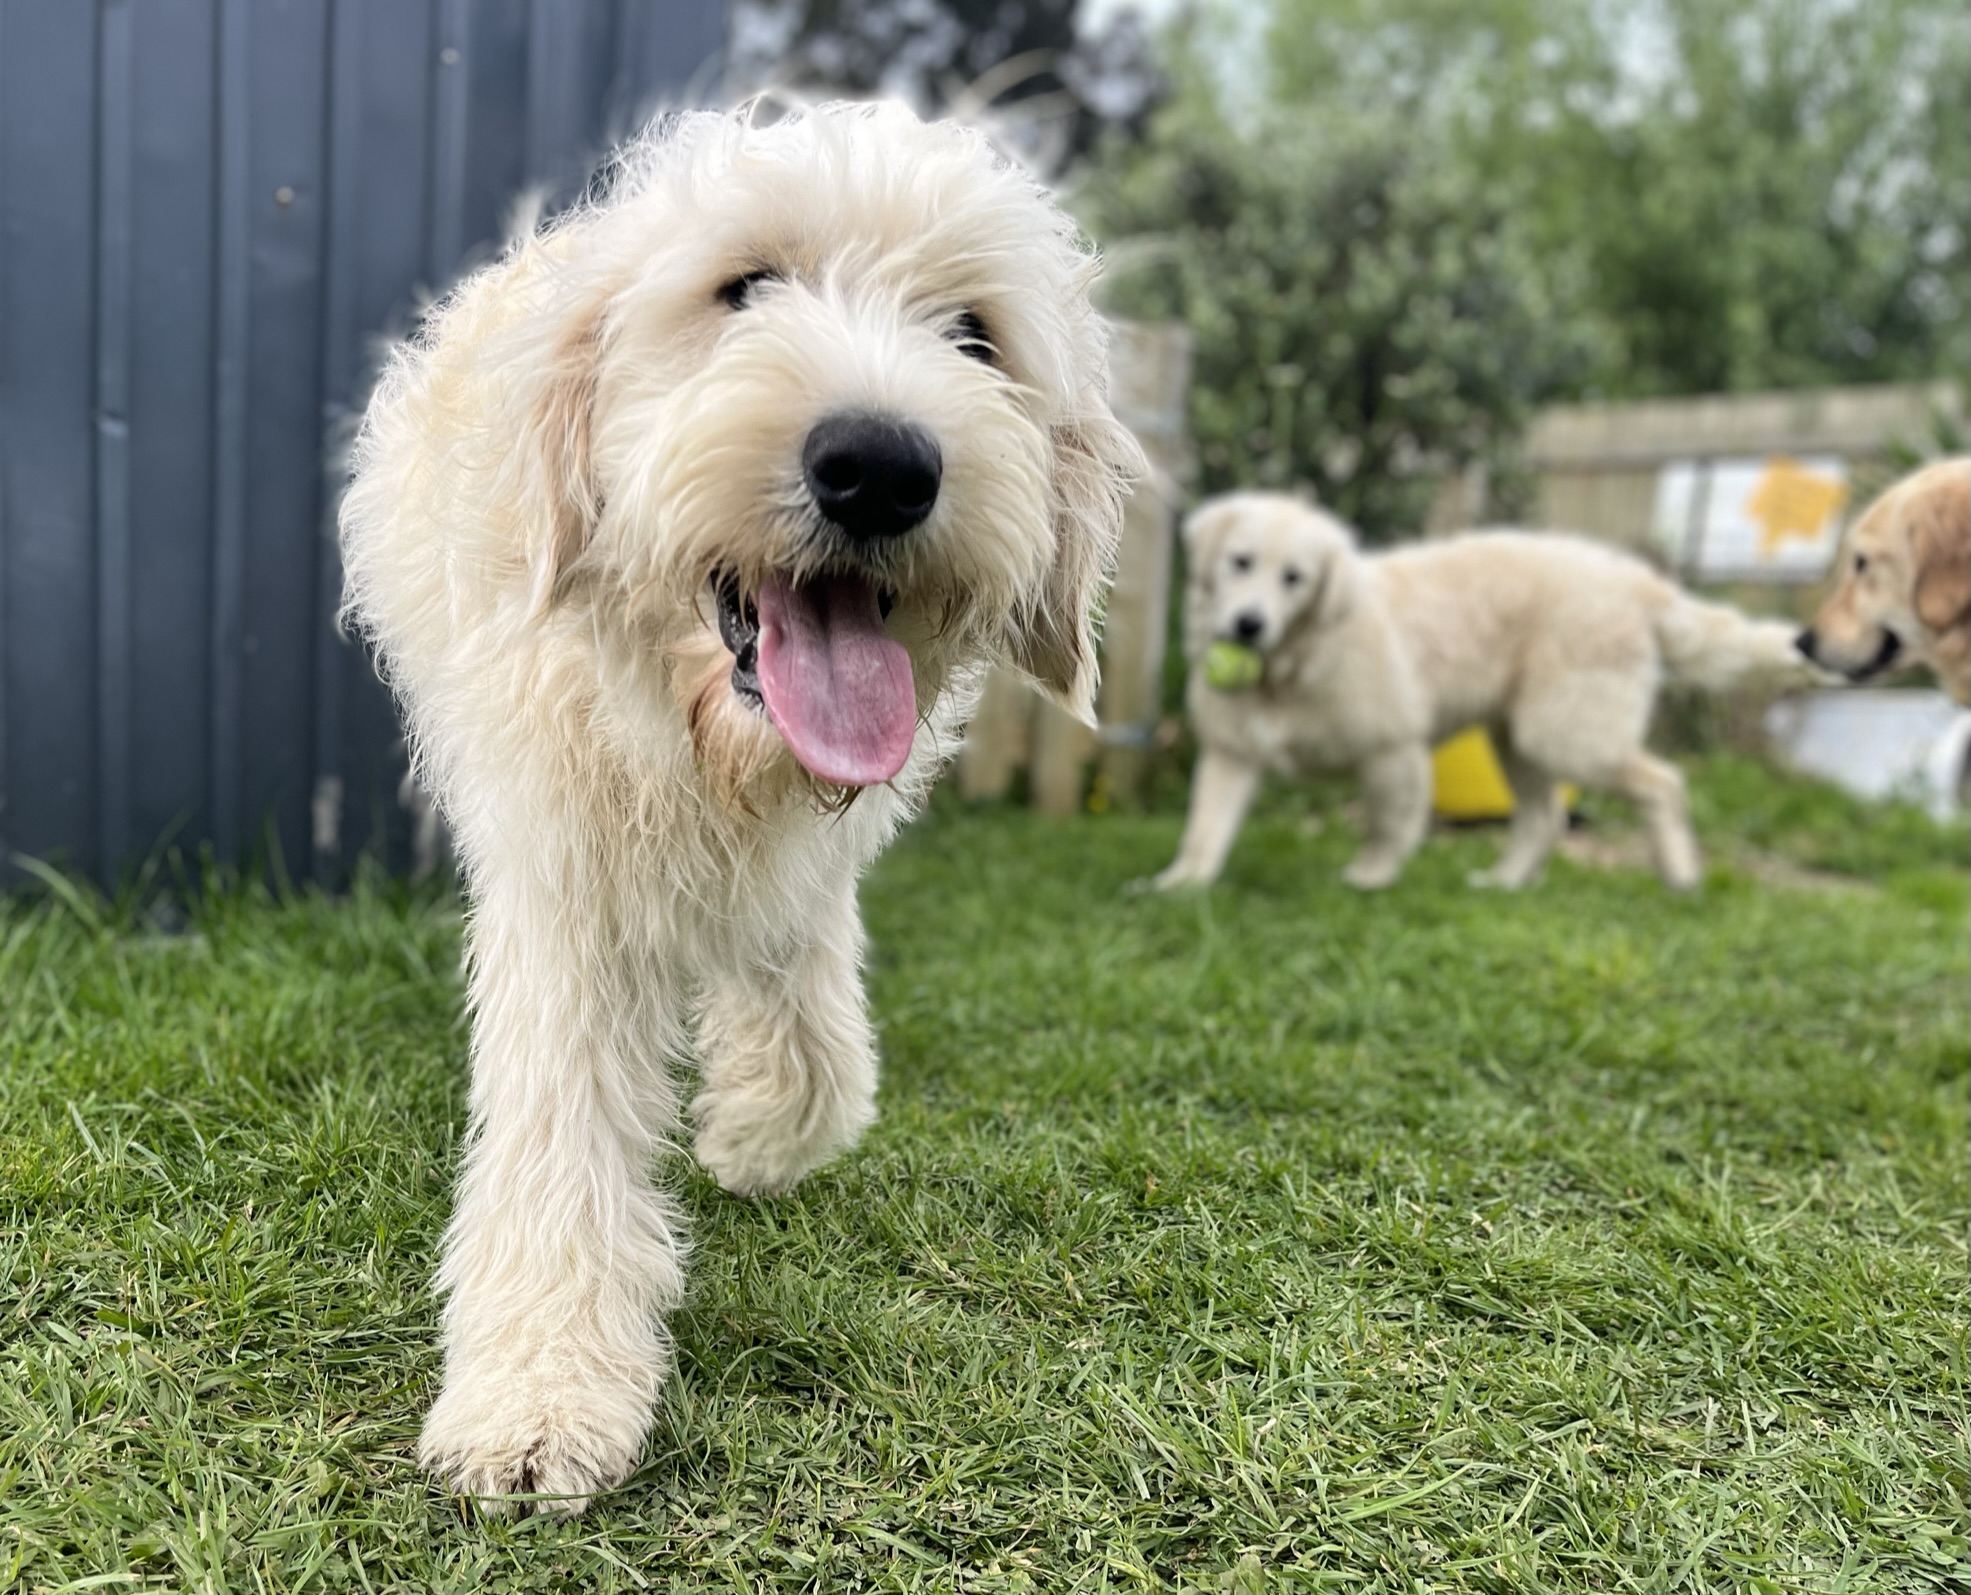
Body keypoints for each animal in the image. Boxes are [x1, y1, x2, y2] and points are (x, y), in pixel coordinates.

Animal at [340, 105, 1143, 1514]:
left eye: (975, 333)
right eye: (744, 287)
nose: (879, 465)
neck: (697, 737)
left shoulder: (807, 863)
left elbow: (813, 1016)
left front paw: (760, 1132)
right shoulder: (566, 882)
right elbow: (559, 1131)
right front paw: (540, 1391)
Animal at [1151, 490, 1813, 895]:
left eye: (1294, 578)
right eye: (1239, 562)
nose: (1248, 626)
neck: (1291, 663)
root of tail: (1635, 580)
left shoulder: (1392, 750)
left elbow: (1386, 824)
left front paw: (1371, 877)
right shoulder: (1230, 753)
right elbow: (1203, 828)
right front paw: (1181, 883)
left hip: (1568, 732)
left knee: (1662, 783)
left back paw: (1678, 874)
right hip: (1519, 741)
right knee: (1544, 818)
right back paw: (1507, 883)